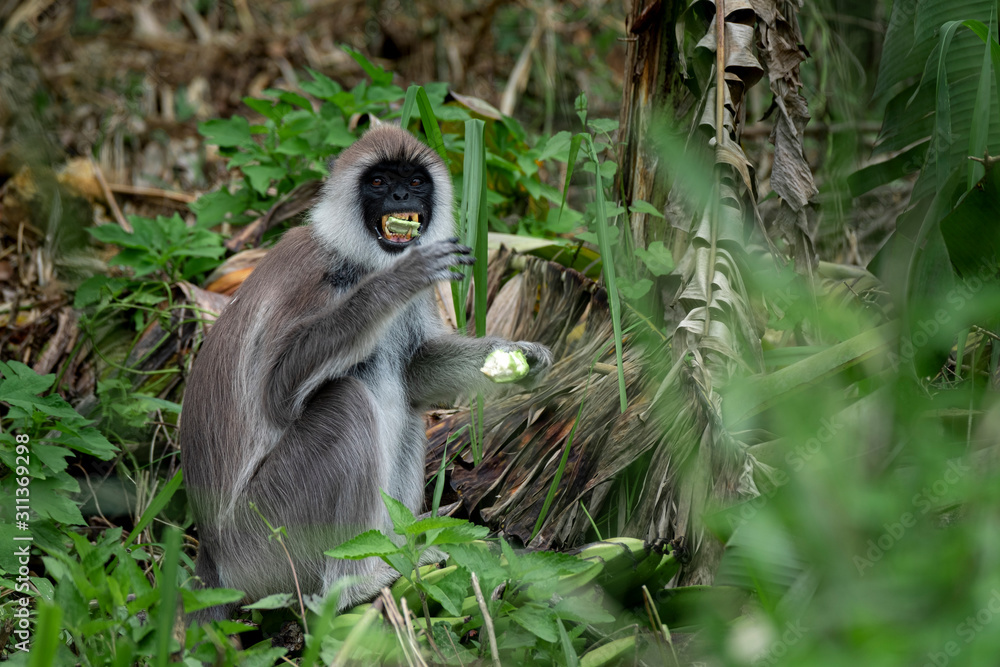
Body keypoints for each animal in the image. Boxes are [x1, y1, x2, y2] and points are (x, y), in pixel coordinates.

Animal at [179, 125, 552, 624]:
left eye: (414, 182)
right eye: (378, 182)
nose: (399, 195)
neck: (360, 260)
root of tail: (214, 558)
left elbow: (415, 373)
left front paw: (521, 359)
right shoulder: (313, 276)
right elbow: (277, 394)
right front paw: (393, 284)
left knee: (406, 405)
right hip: (263, 540)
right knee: (347, 403)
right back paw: (356, 586)